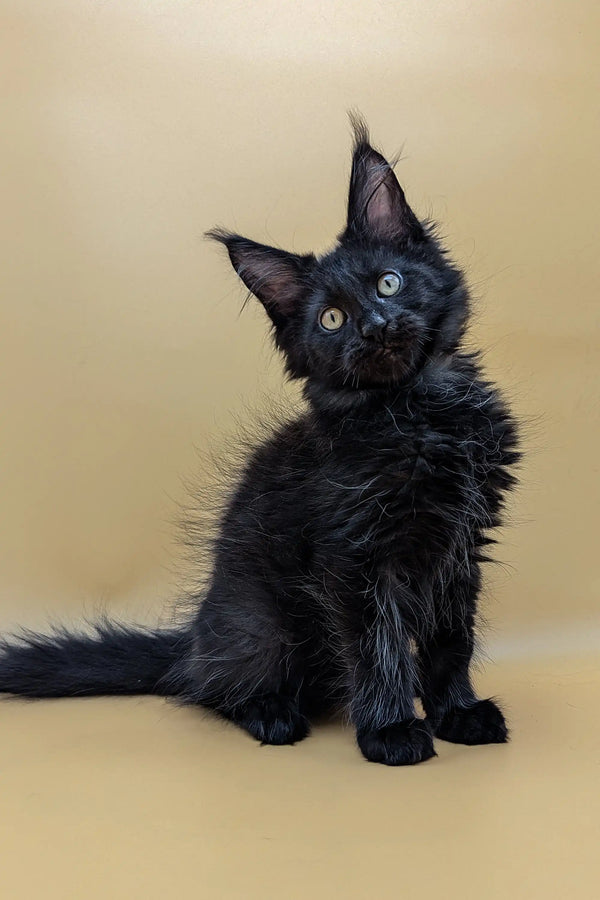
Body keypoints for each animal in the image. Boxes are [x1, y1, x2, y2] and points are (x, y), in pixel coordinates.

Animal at [0, 119, 520, 768]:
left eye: (389, 283)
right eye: (330, 320)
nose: (375, 327)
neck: (420, 413)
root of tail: (195, 639)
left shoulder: (459, 546)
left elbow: (451, 642)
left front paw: (456, 713)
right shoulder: (355, 558)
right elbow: (379, 647)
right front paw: (392, 731)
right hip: (259, 625)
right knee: (213, 689)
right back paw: (271, 713)